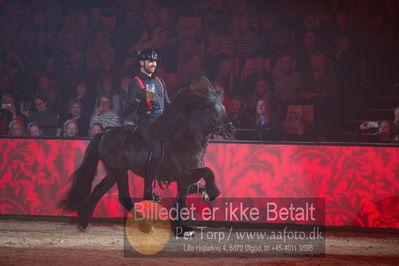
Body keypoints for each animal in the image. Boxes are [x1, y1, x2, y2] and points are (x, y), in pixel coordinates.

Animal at [57, 77, 236, 235]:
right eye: (214, 110)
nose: (231, 129)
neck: (187, 138)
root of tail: (105, 133)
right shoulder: (185, 173)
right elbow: (209, 172)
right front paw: (212, 192)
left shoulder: (184, 180)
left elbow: (182, 201)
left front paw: (182, 228)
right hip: (120, 171)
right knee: (124, 198)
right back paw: (145, 225)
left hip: (113, 172)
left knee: (98, 191)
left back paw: (83, 223)